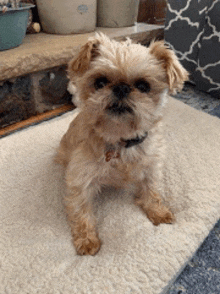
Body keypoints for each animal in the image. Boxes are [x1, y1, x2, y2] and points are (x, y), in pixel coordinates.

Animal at [55, 33, 188, 255]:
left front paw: (158, 211)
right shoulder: (80, 179)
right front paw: (87, 239)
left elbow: (152, 191)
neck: (120, 140)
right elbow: (81, 210)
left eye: (143, 86)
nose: (121, 88)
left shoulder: (151, 167)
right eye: (100, 82)